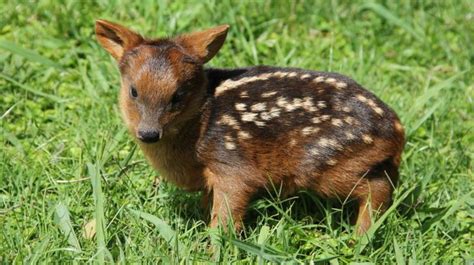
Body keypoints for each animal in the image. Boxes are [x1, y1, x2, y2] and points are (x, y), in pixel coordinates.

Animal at [95, 19, 404, 233]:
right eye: (134, 91)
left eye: (178, 95)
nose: (148, 133)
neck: (198, 128)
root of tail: (397, 129)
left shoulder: (232, 167)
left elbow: (225, 220)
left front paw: (213, 250)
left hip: (325, 164)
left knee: (378, 188)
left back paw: (359, 237)